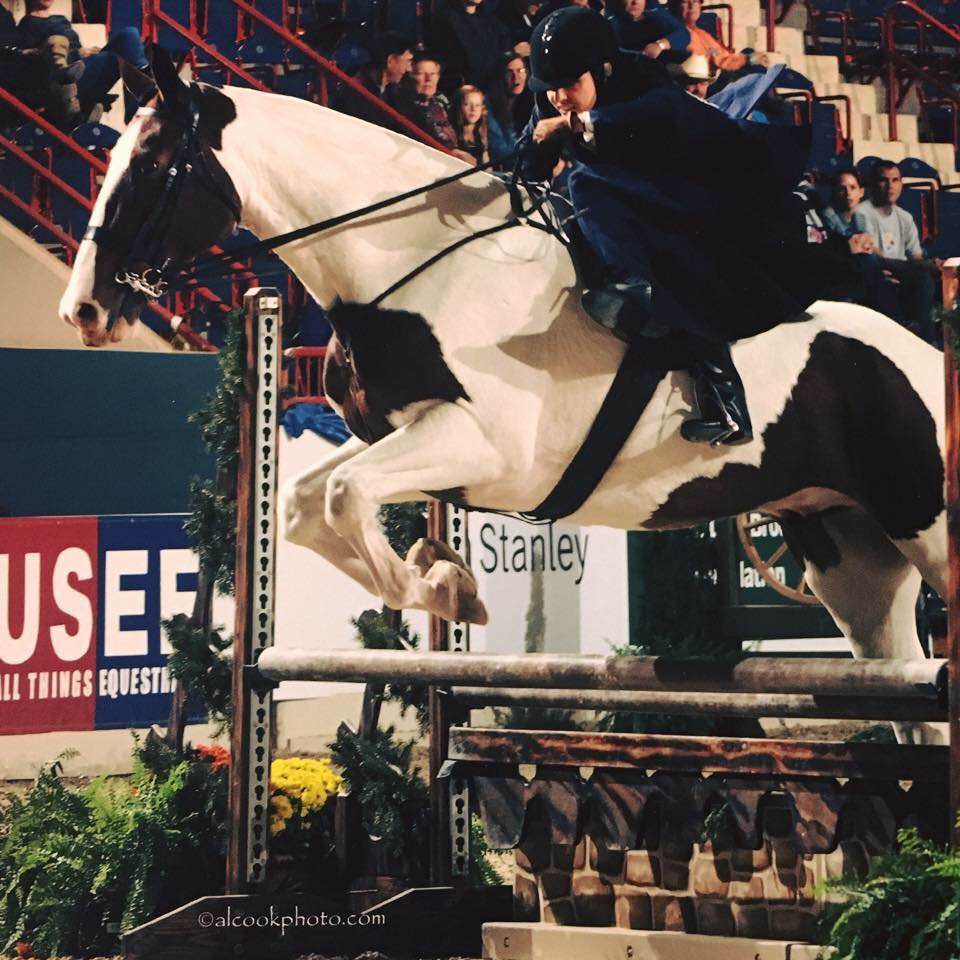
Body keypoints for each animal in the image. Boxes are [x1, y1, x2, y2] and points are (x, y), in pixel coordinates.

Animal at [62, 54, 952, 744]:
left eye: (151, 167)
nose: (83, 311)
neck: (416, 263)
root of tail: (924, 352)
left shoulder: (486, 448)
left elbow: (344, 494)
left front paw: (442, 587)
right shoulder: (409, 440)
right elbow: (307, 503)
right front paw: (441, 574)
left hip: (928, 527)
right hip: (849, 553)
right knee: (905, 682)